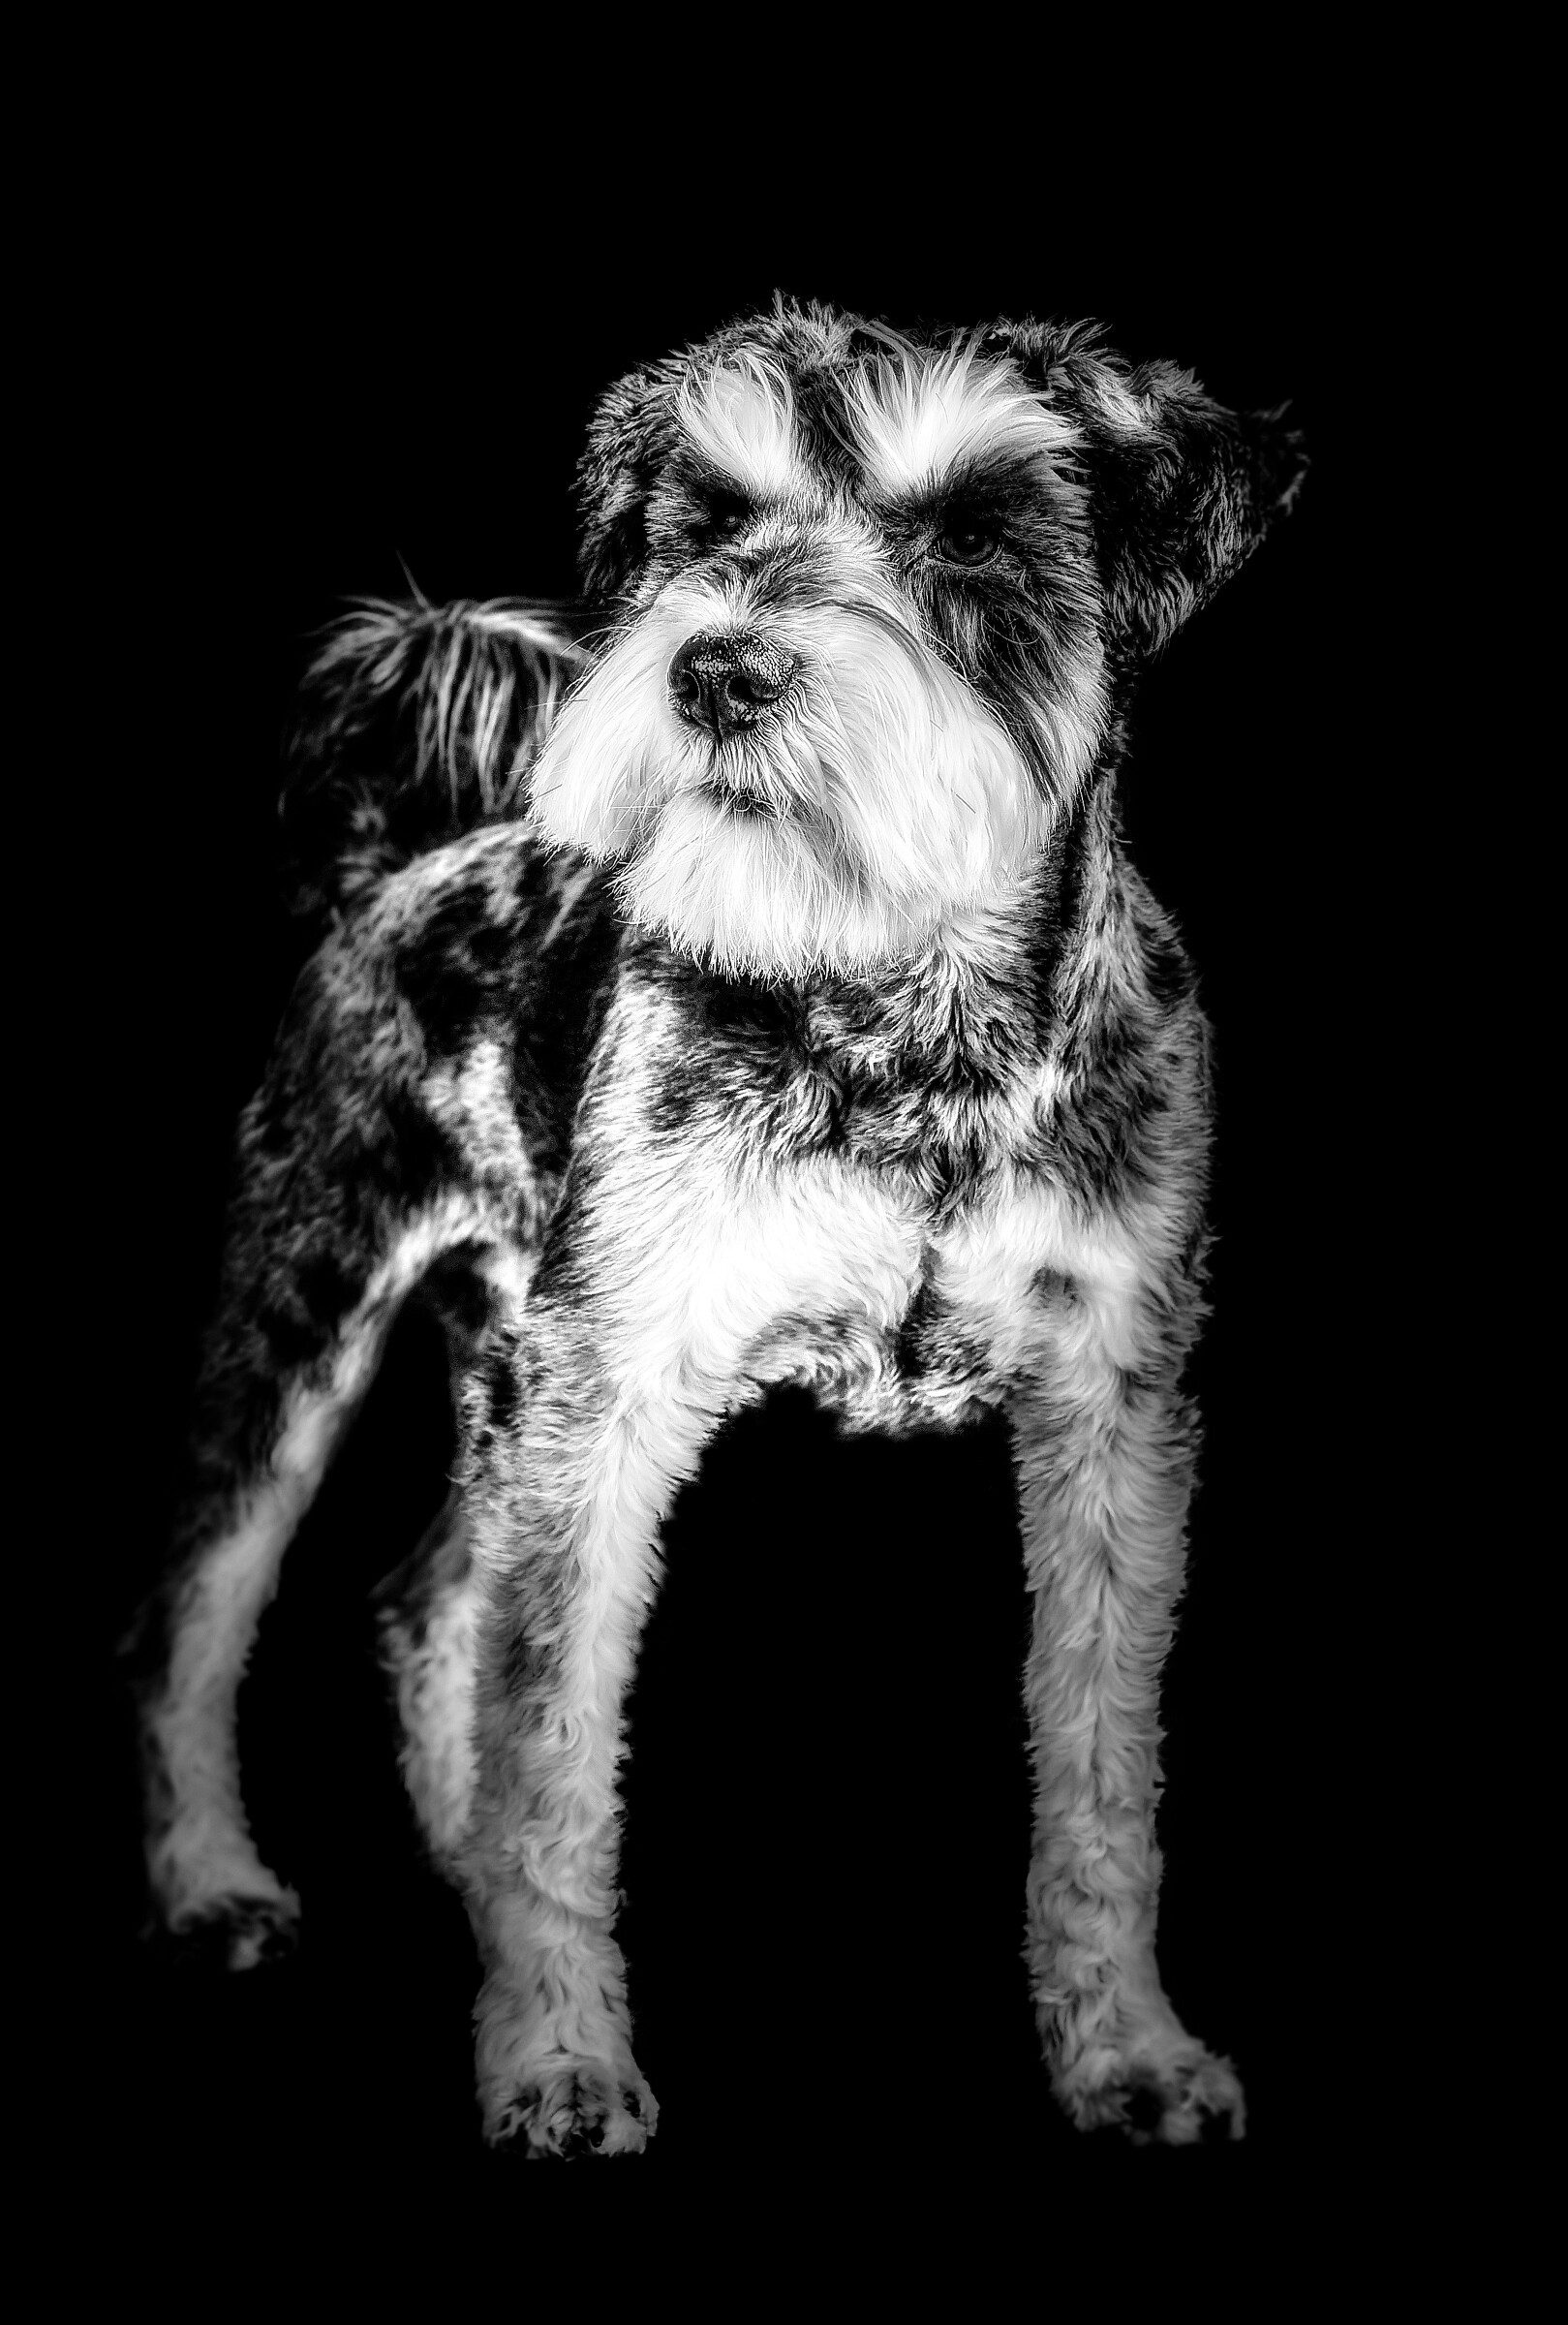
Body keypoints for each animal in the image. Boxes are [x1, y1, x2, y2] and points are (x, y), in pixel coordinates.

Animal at [129, 298, 1305, 2156]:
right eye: (709, 519)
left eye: (971, 532)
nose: (718, 668)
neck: (907, 1027)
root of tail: (399, 866)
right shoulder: (615, 1393)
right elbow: (556, 1736)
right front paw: (556, 2061)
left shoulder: (1115, 1401)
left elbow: (1102, 1765)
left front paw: (1125, 2049)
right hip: (312, 1310)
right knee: (197, 1613)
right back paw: (214, 1888)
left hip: (506, 1373)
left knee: (428, 1603)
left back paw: (466, 1887)